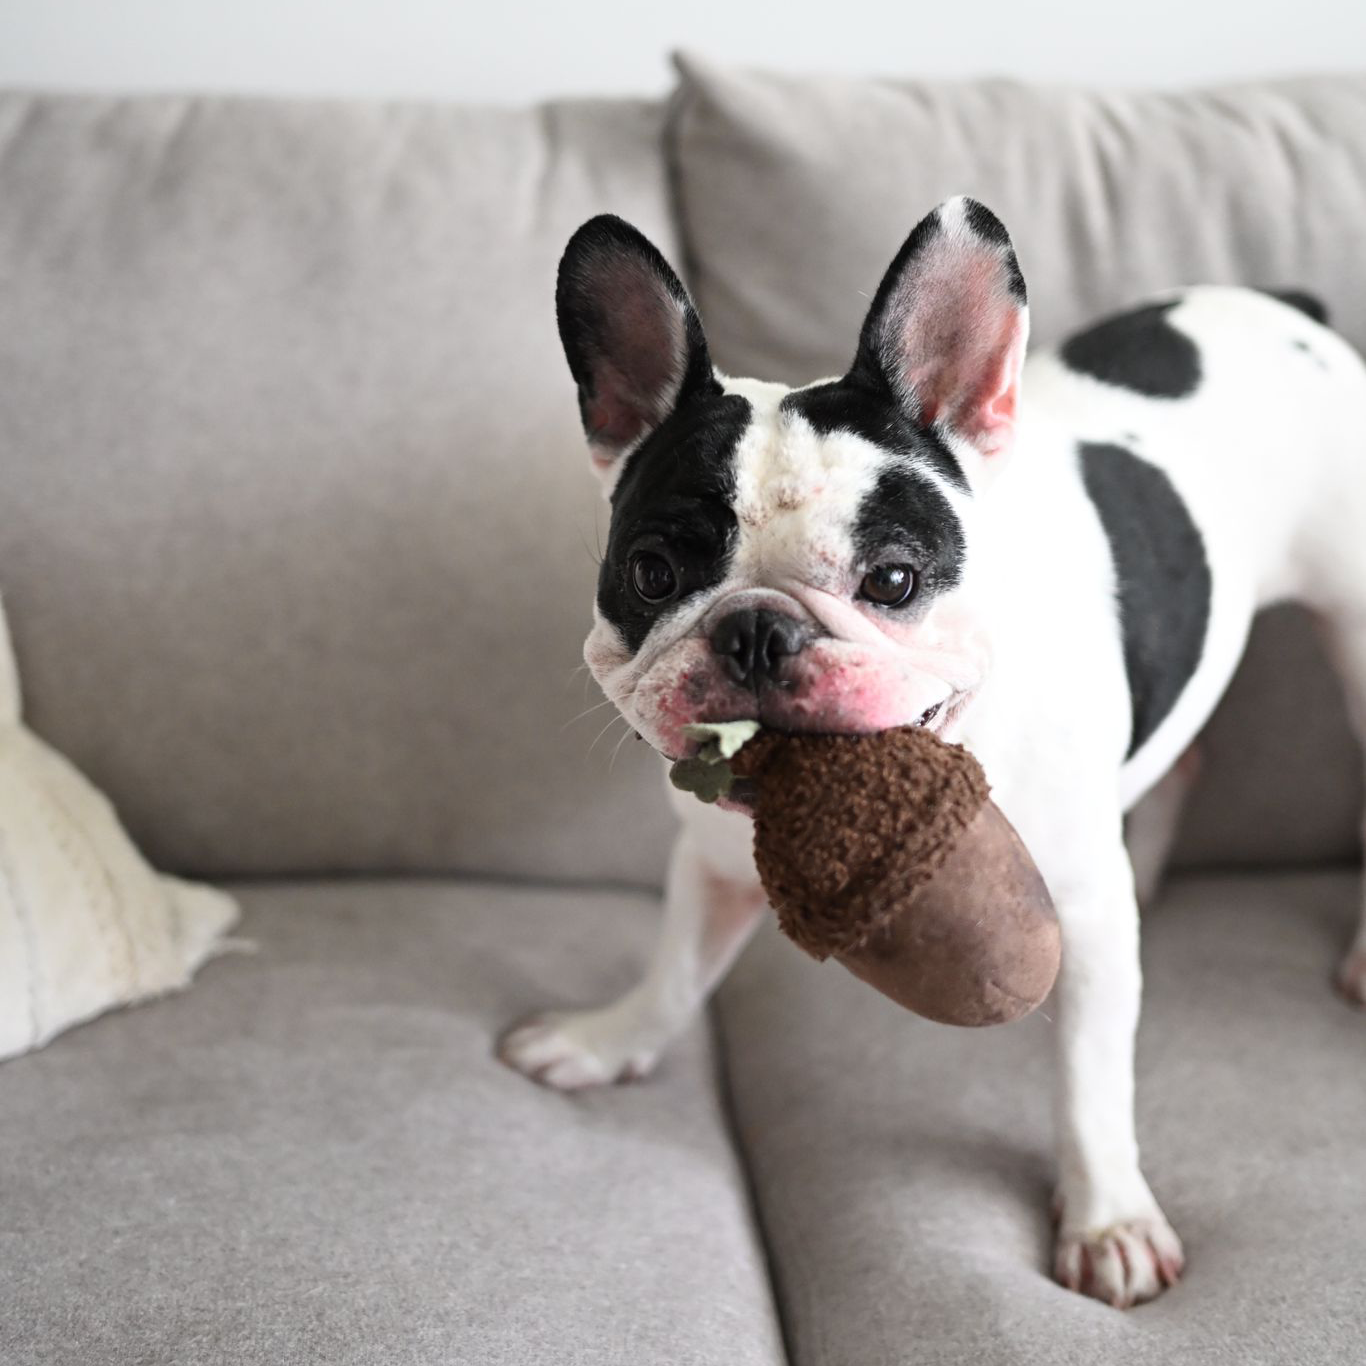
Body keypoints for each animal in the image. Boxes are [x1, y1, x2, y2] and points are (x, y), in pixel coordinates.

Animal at [499, 198, 1366, 1305]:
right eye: (651, 573)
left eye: (895, 581)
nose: (756, 631)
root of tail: (1285, 307)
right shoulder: (709, 862)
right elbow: (677, 971)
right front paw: (608, 1041)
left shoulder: (1080, 921)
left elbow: (1090, 1079)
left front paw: (1107, 1220)